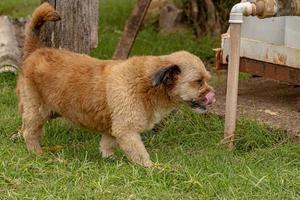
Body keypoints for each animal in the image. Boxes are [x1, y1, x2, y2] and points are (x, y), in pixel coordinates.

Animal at [17, 2, 216, 167]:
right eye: (198, 82)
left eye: (207, 79)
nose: (212, 94)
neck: (148, 85)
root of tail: (36, 50)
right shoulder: (127, 131)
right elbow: (141, 155)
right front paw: (154, 169)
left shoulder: (114, 130)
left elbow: (107, 145)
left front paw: (110, 160)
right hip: (36, 110)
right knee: (30, 132)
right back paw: (37, 153)